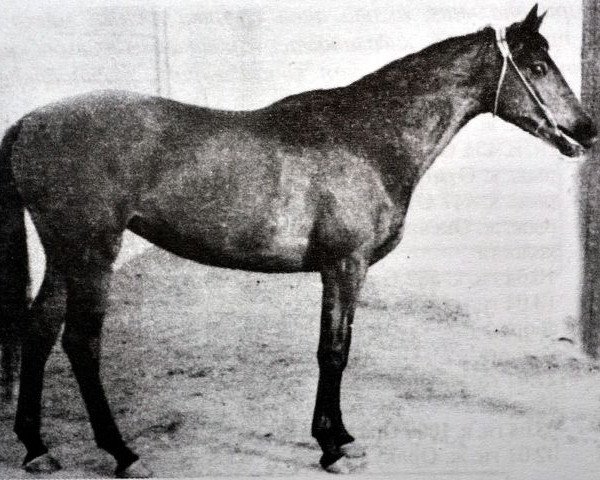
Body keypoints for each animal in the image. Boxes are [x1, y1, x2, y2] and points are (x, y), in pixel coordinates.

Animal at [0, 5, 596, 478]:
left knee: (38, 332)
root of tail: (29, 121)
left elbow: (339, 347)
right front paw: (331, 446)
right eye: (537, 66)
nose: (587, 130)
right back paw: (121, 452)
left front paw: (340, 437)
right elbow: (333, 351)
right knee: (80, 343)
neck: (369, 138)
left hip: (64, 254)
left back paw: (36, 448)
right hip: (92, 253)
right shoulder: (345, 266)